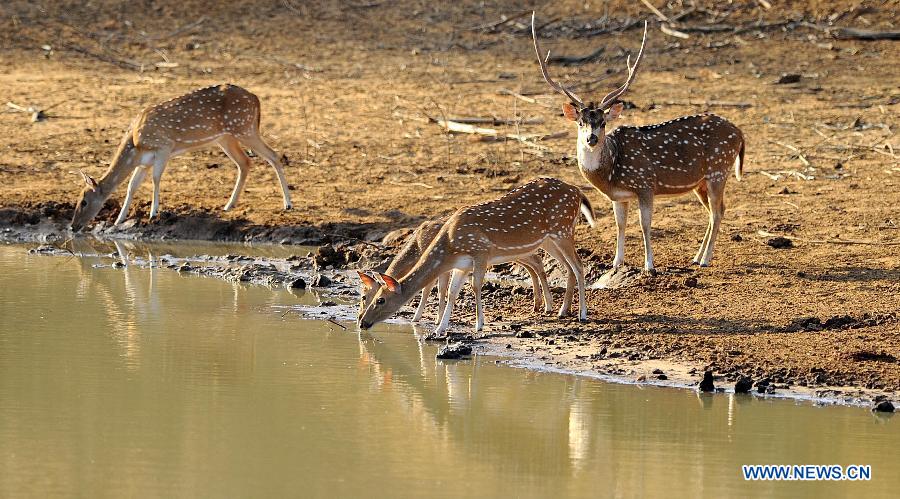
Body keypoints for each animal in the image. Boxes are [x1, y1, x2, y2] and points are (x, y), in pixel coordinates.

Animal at [73, 84, 296, 232]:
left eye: (84, 201)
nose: (73, 226)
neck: (135, 143)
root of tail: (256, 98)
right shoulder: (144, 162)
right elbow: (131, 186)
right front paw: (119, 220)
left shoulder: (164, 146)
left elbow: (156, 179)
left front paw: (153, 213)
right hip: (226, 137)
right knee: (245, 162)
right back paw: (228, 205)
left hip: (244, 128)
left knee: (273, 155)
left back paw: (288, 204)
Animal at [358, 219, 556, 324]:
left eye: (364, 296)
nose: (360, 317)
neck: (417, 247)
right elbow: (440, 290)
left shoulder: (441, 265)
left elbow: (432, 290)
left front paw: (421, 319)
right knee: (534, 262)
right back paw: (538, 304)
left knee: (537, 261)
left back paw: (546, 305)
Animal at [532, 14, 740, 274]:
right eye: (581, 122)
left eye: (603, 122)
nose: (592, 139)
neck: (610, 170)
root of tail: (740, 133)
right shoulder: (619, 197)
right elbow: (620, 226)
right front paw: (616, 263)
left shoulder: (645, 184)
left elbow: (644, 224)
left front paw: (649, 266)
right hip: (701, 182)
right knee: (716, 211)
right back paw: (696, 256)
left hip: (718, 170)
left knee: (718, 212)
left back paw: (705, 259)